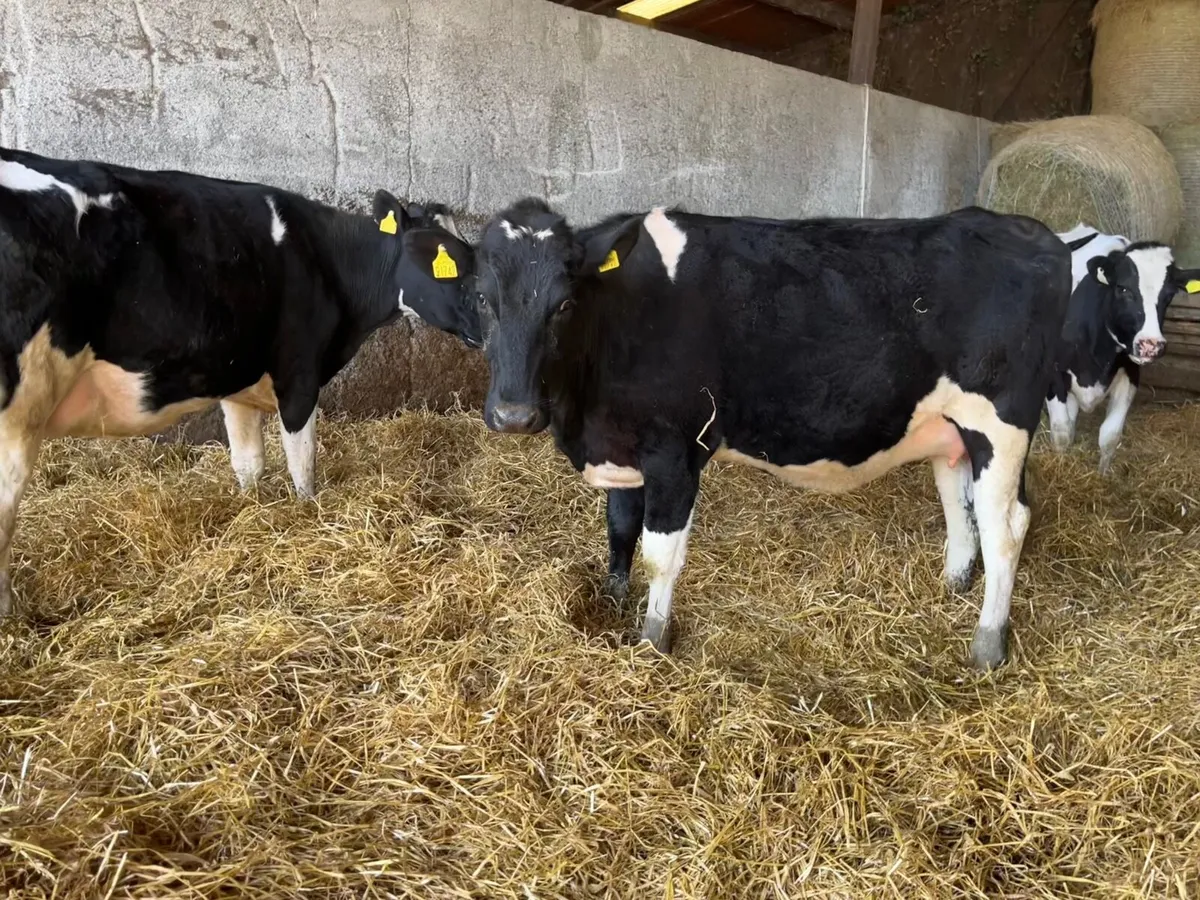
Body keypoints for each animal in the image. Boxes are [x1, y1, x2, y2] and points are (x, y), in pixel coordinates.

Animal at [0, 146, 478, 616]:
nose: (485, 313)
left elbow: (248, 462)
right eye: (444, 258)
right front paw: (307, 514)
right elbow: (302, 462)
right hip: (20, 410)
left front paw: (251, 511)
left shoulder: (238, 381)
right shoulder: (299, 372)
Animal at [459, 198, 1074, 671]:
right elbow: (619, 531)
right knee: (958, 501)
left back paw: (987, 646)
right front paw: (612, 604)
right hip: (951, 428)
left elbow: (660, 554)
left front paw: (653, 641)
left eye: (563, 304)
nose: (513, 414)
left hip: (1001, 425)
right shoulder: (622, 447)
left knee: (1007, 526)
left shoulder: (675, 453)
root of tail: (1033, 230)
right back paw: (952, 585)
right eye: (483, 298)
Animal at [1048, 223, 1200, 473]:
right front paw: (1060, 467)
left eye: (1169, 295)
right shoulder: (1052, 372)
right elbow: (1062, 432)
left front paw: (1102, 476)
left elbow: (1109, 436)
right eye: (1123, 289)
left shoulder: (1130, 374)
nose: (1151, 345)